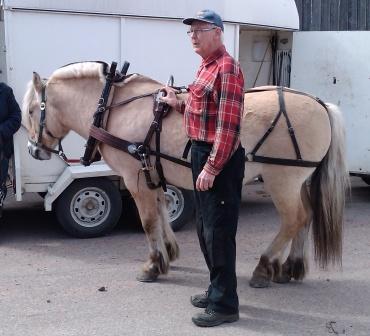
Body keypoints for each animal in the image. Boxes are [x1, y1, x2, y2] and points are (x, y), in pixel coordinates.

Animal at [21, 62, 348, 286]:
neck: (114, 107)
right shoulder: (153, 175)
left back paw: (265, 266)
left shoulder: (135, 178)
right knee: (306, 216)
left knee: (294, 219)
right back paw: (291, 267)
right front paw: (169, 252)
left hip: (282, 180)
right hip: (298, 181)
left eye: (31, 111)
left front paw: (153, 265)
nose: (33, 150)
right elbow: (162, 213)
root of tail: (320, 103)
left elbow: (148, 221)